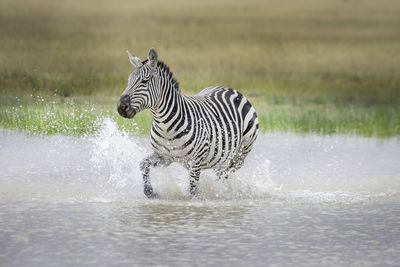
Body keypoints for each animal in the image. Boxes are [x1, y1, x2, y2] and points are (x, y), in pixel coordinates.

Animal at [117, 48, 258, 199]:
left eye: (145, 81)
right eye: (128, 81)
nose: (121, 107)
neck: (165, 127)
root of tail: (230, 89)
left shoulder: (196, 161)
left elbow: (193, 190)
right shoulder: (163, 157)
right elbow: (143, 164)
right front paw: (149, 191)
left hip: (240, 155)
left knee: (225, 174)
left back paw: (222, 191)